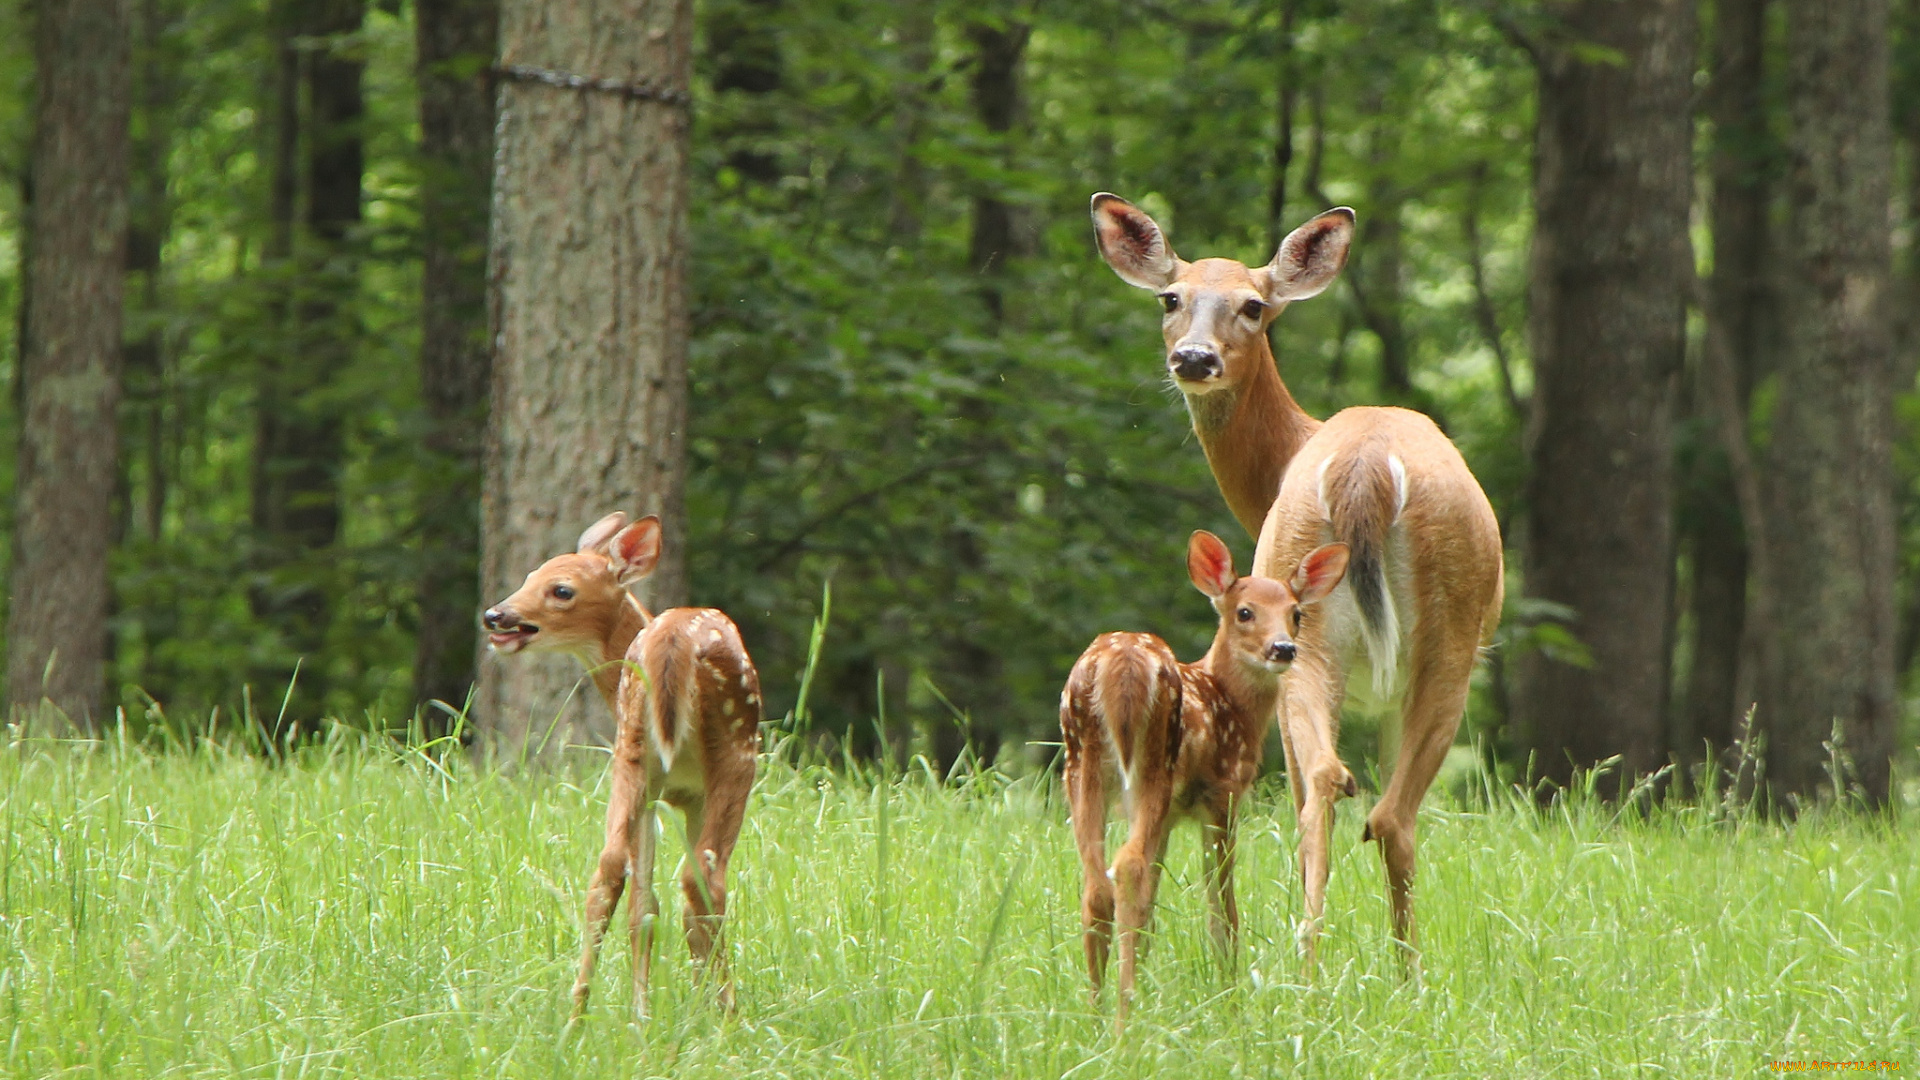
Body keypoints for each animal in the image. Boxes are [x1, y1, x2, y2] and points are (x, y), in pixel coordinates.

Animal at [483, 511, 760, 1014]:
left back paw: (581, 1013)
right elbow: (669, 904)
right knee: (704, 880)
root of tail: (671, 639)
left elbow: (644, 905)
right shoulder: (691, 794)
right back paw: (728, 1013)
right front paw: (698, 1007)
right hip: (736, 753)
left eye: (561, 589)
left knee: (610, 867)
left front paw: (652, 1012)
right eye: (529, 577)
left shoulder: (662, 794)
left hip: (631, 751)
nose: (496, 615)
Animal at [1067, 530, 1351, 1014]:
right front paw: (1230, 996)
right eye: (1245, 612)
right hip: (1153, 764)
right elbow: (1222, 907)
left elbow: (1150, 906)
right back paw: (1124, 1013)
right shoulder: (1222, 793)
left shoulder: (1170, 816)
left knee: (1097, 885)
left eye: (1295, 613)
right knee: (1126, 867)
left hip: (1081, 764)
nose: (1283, 648)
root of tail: (1119, 667)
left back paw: (1097, 1011)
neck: (1231, 703)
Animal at [1090, 193, 1505, 968]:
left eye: (1253, 306)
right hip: (1435, 638)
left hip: (1326, 619)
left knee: (1335, 790)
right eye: (1171, 297)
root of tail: (1366, 466)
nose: (1194, 357)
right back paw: (1382, 972)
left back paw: (1323, 964)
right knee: (1375, 807)